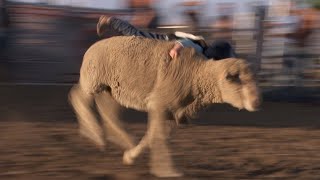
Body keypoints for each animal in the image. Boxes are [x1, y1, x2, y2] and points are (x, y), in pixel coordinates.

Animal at [69, 35, 262, 178]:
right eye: (235, 78)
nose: (257, 102)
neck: (196, 74)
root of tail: (93, 45)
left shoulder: (171, 111)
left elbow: (151, 136)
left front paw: (130, 156)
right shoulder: (159, 104)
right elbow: (158, 137)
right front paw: (167, 171)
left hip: (112, 88)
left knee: (107, 109)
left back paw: (119, 139)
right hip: (93, 80)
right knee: (78, 97)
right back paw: (95, 134)